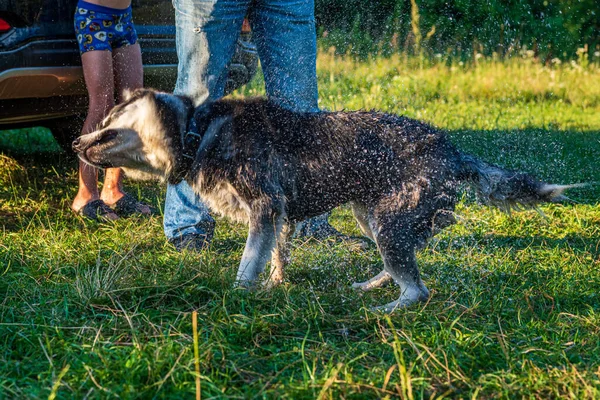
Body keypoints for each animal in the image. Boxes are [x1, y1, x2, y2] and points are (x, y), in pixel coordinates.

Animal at [72, 89, 580, 310]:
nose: (77, 141)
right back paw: (372, 286)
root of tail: (454, 151)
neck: (197, 134)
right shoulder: (279, 216)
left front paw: (237, 294)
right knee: (402, 266)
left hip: (389, 223)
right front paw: (276, 284)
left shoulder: (265, 207)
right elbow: (276, 256)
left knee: (418, 288)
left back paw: (385, 309)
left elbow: (247, 263)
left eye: (110, 119)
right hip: (373, 217)